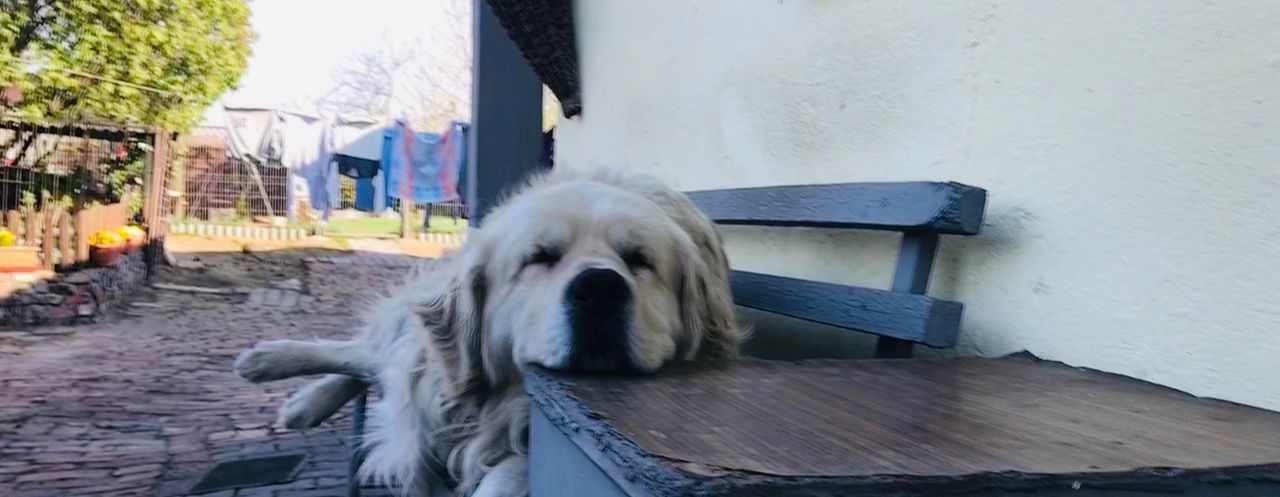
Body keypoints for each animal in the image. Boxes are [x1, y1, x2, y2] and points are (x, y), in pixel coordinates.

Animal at [235, 167, 747, 496]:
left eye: (639, 260)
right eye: (540, 257)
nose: (601, 288)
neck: (498, 405)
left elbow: (509, 470)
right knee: (367, 354)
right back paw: (273, 370)